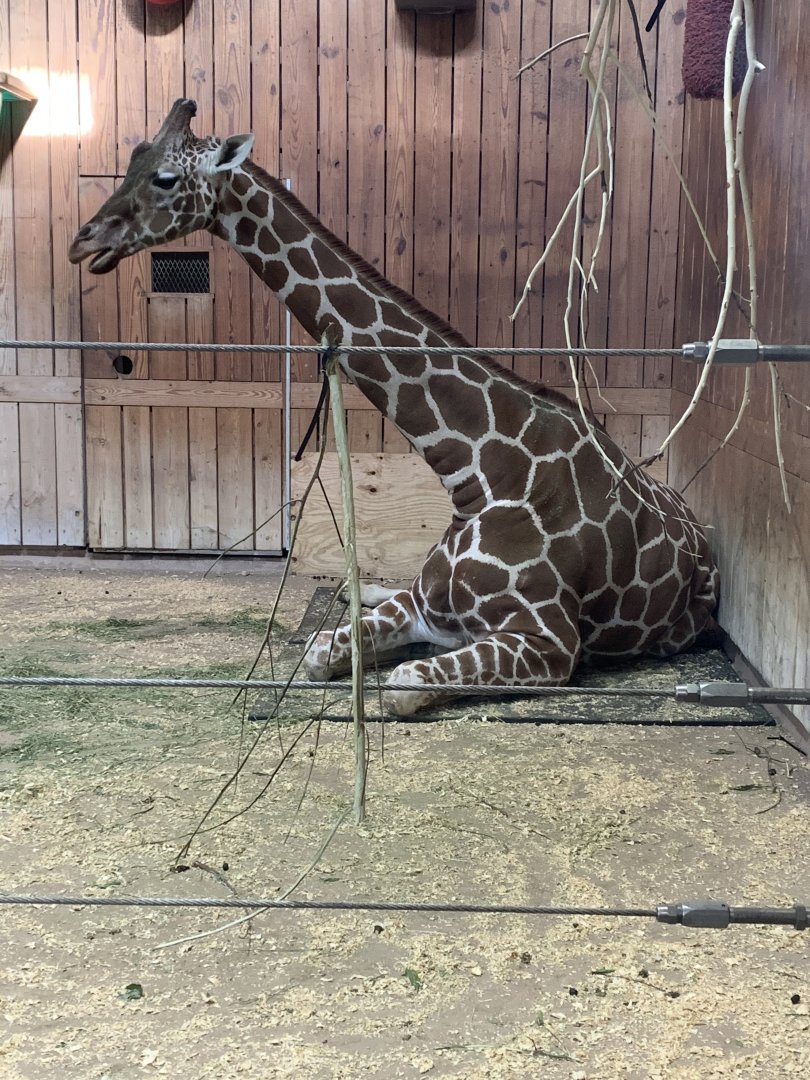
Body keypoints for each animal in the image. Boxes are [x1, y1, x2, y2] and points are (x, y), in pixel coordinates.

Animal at [69, 99, 720, 715]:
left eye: (165, 178)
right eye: (130, 161)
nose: (84, 241)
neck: (478, 476)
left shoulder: (549, 641)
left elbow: (404, 683)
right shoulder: (425, 605)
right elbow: (320, 650)